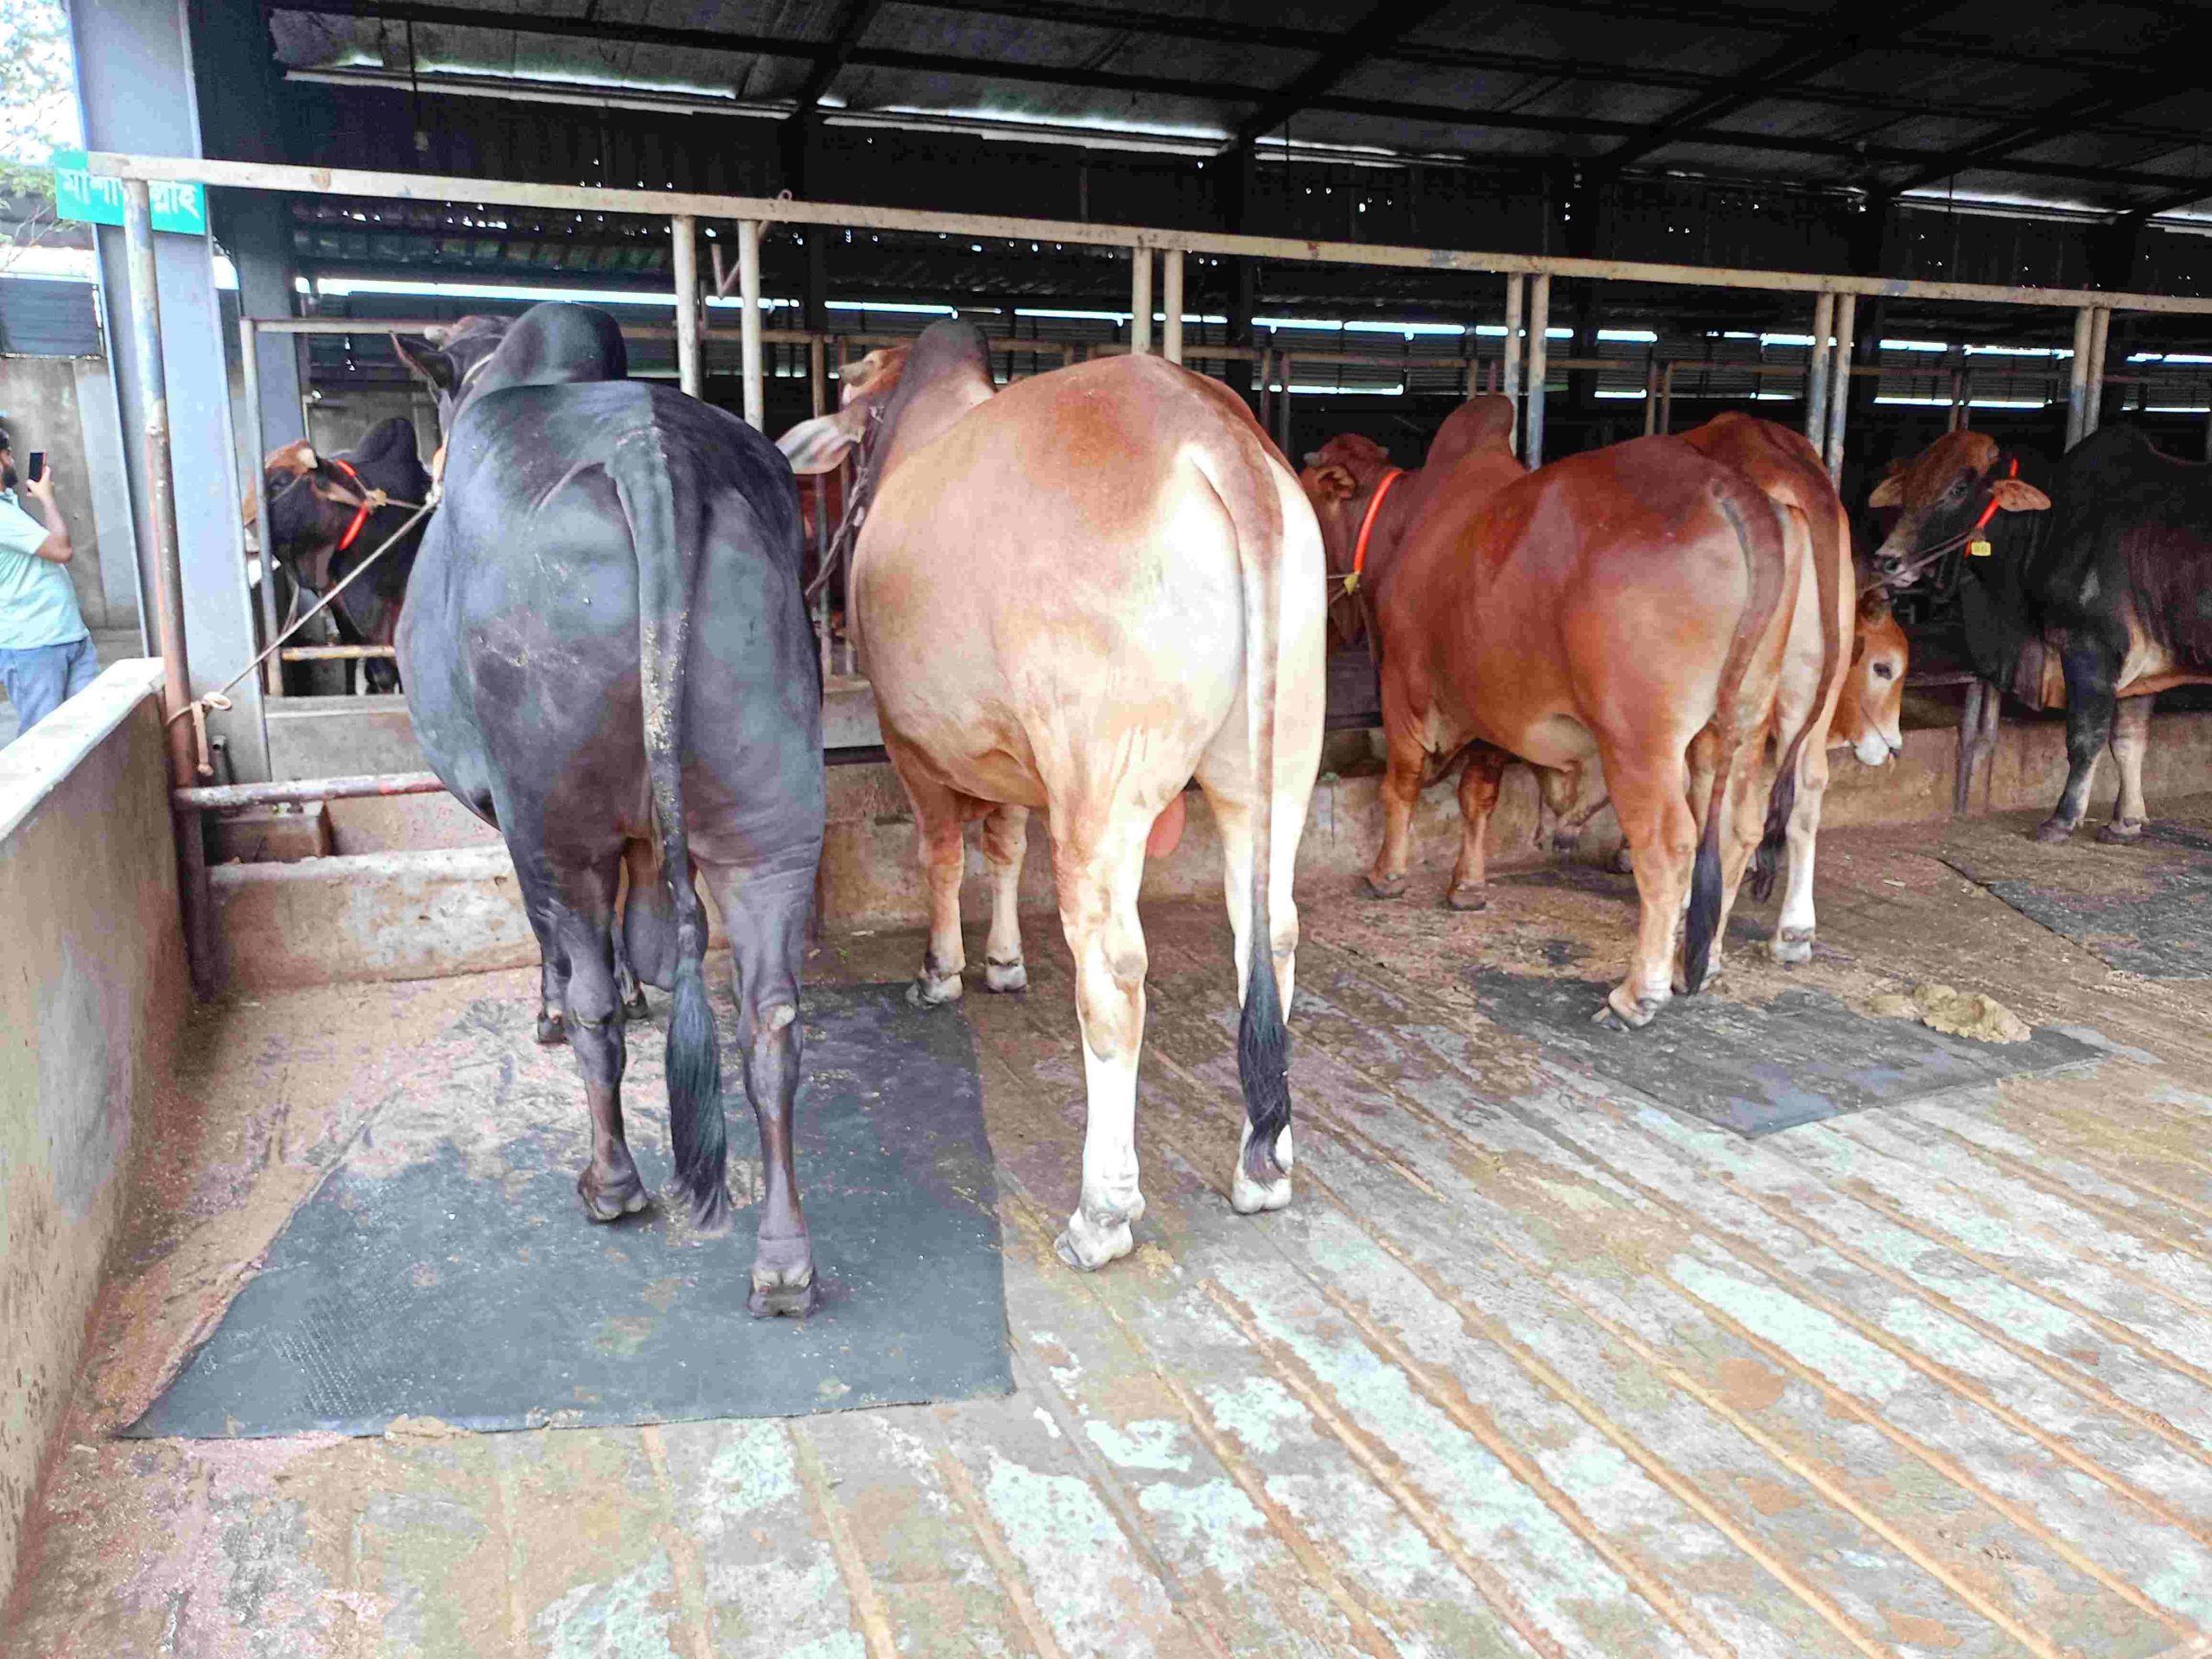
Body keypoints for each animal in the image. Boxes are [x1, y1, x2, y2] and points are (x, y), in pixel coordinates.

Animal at [395, 302, 828, 1317]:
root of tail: (651, 454)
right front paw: (641, 987)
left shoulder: (503, 809)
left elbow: (559, 953)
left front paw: (550, 1010)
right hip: (775, 825)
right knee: (770, 1023)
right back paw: (782, 1261)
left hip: (555, 822)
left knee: (591, 989)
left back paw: (610, 1181)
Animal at [777, 320, 1324, 1272]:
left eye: (848, 382)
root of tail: (1213, 429)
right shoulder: (1009, 755)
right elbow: (1004, 845)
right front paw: (1003, 962)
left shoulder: (911, 740)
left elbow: (943, 855)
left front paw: (943, 970)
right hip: (1275, 766)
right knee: (1270, 935)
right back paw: (1264, 1166)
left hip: (1102, 788)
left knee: (1114, 972)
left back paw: (1102, 1212)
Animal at [1302, 396, 1809, 1027]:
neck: (1404, 524)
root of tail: (1729, 487)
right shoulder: (1493, 709)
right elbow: (1478, 798)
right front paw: (1467, 887)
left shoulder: (1404, 692)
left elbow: (1401, 786)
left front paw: (1386, 875)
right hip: (1742, 720)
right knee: (1737, 832)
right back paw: (1704, 963)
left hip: (1640, 739)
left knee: (1669, 844)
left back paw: (1637, 993)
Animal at [1870, 425, 2212, 844]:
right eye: (1908, 487)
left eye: (1958, 489)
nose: (1887, 560)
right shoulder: (2144, 673)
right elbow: (2128, 741)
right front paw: (2124, 823)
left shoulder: (2089, 646)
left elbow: (2085, 738)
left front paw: (2061, 820)